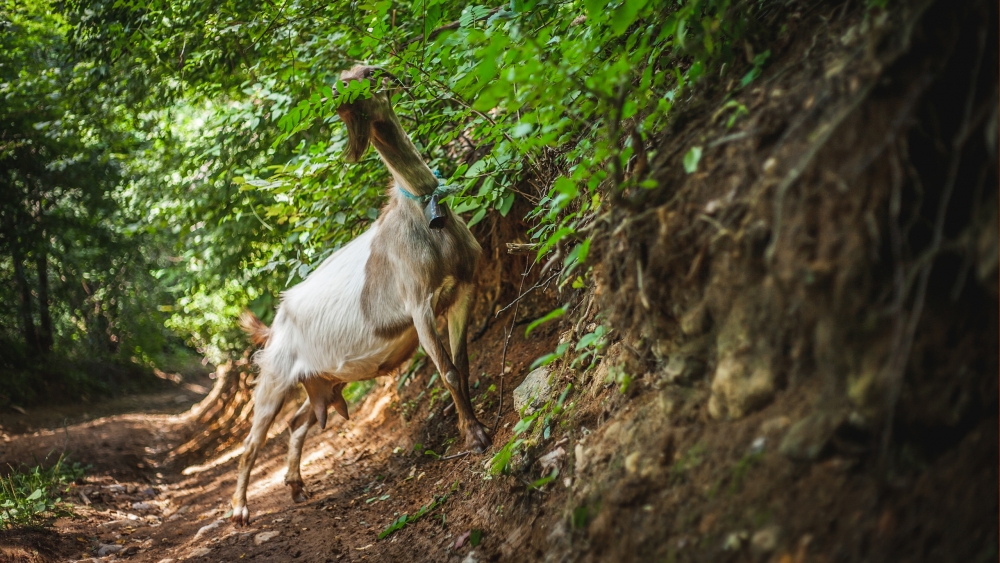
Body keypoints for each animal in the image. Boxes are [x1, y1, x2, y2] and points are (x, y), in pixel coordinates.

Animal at [230, 66, 491, 526]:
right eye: (345, 94)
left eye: (371, 78)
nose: (372, 120)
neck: (422, 216)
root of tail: (274, 324)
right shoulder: (420, 306)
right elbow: (447, 372)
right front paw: (475, 437)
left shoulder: (464, 291)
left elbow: (460, 364)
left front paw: (472, 426)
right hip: (275, 379)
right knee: (252, 442)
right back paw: (241, 510)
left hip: (323, 383)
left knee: (298, 424)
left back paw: (295, 484)